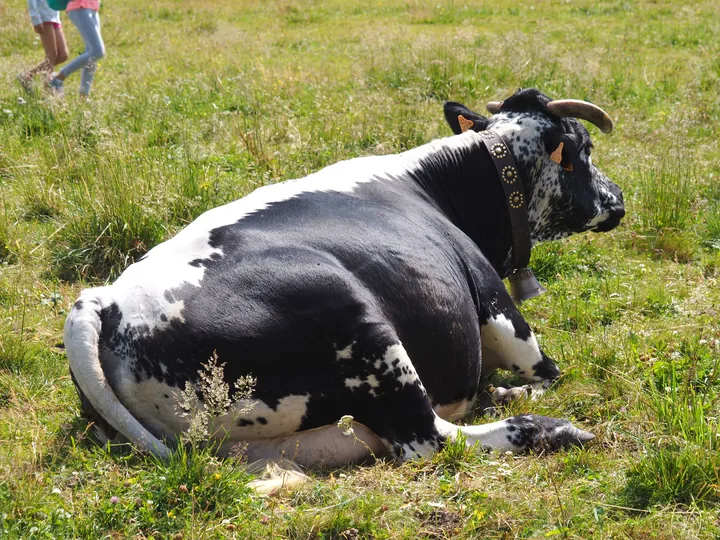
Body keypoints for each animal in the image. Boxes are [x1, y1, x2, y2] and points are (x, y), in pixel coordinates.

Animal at [63, 88, 624, 480]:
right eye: (584, 150)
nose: (618, 197)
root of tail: (101, 301)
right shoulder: (498, 307)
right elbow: (547, 373)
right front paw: (517, 395)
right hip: (359, 325)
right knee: (428, 440)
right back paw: (551, 429)